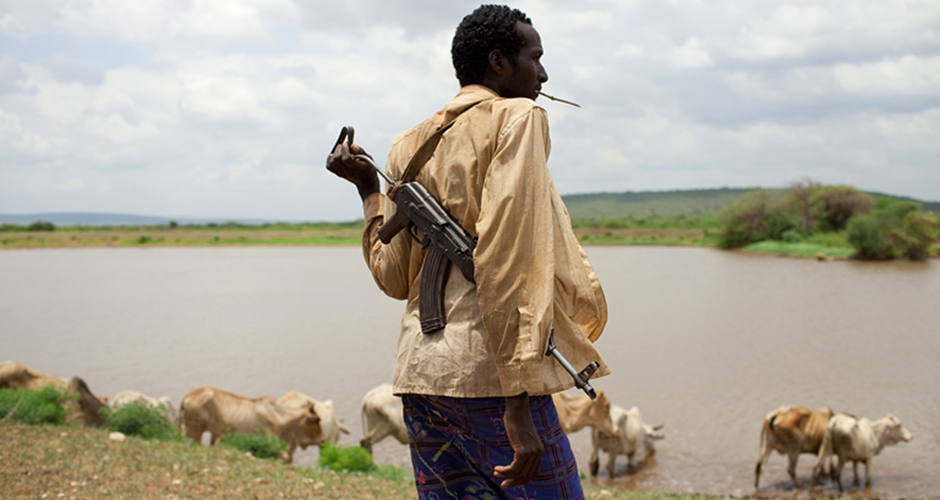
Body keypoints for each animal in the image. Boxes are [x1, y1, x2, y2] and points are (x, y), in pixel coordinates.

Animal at [179, 386, 324, 464]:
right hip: (195, 431)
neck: (281, 419)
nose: (322, 440)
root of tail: (186, 397)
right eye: (317, 419)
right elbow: (285, 457)